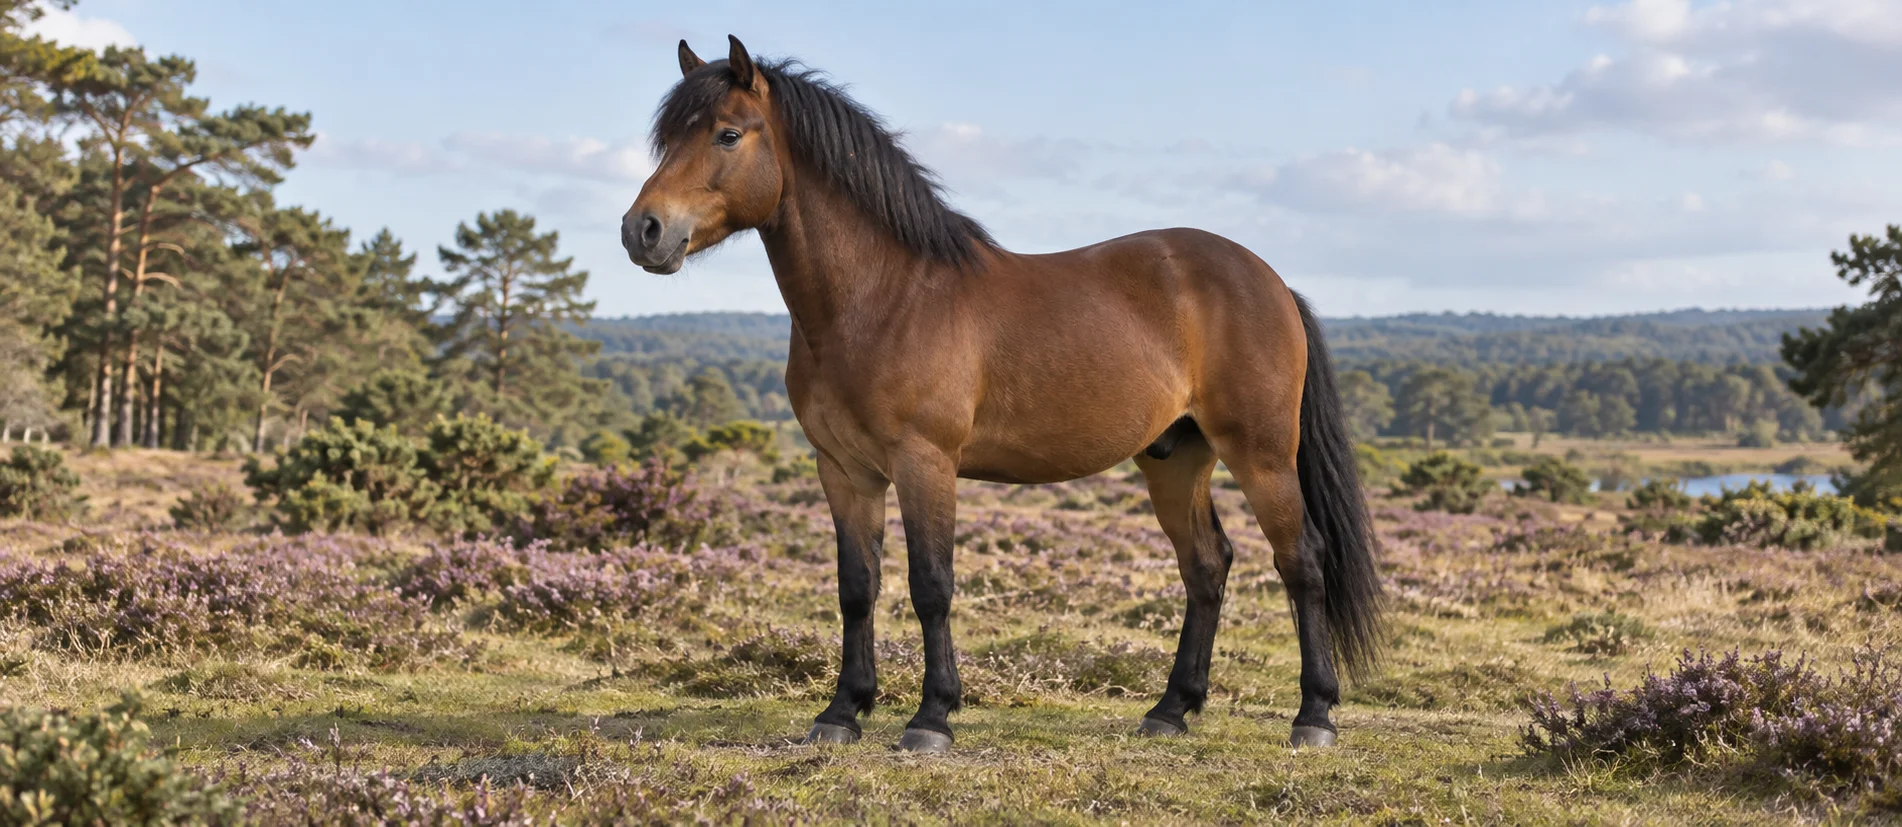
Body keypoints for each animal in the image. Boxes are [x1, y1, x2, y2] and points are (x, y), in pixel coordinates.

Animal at [622, 36, 1383, 754]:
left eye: (727, 134)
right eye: (667, 138)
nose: (643, 231)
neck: (883, 299)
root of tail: (1270, 281)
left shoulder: (925, 462)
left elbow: (931, 585)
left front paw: (932, 717)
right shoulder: (844, 469)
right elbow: (857, 587)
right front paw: (841, 712)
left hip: (1260, 454)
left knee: (1301, 560)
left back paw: (1313, 716)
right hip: (1176, 458)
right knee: (1205, 565)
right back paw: (1171, 710)